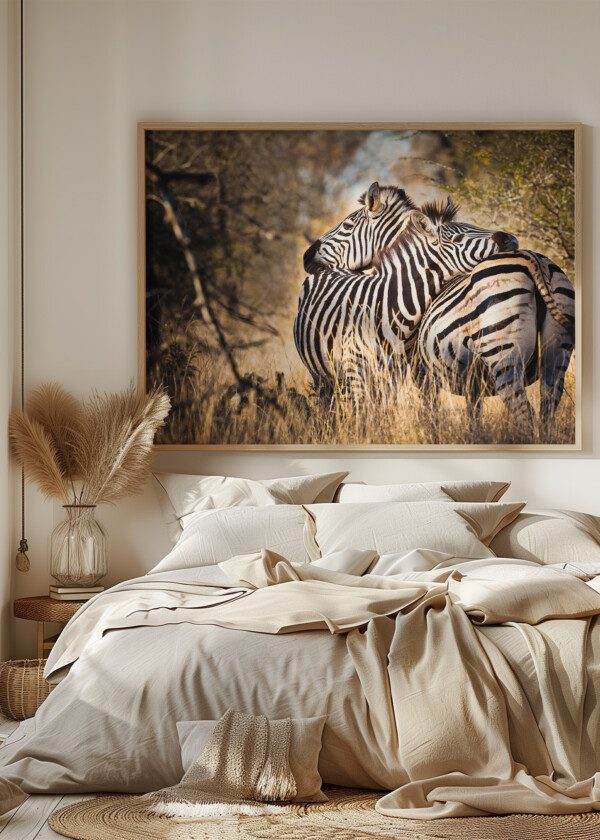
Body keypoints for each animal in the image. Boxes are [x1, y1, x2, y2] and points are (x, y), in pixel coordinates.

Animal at [416, 249, 575, 439]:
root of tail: (533, 258)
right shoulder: (473, 383)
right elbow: (473, 414)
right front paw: (474, 437)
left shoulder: (426, 377)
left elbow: (431, 413)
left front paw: (432, 436)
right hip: (556, 353)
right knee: (547, 410)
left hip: (503, 351)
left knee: (523, 411)